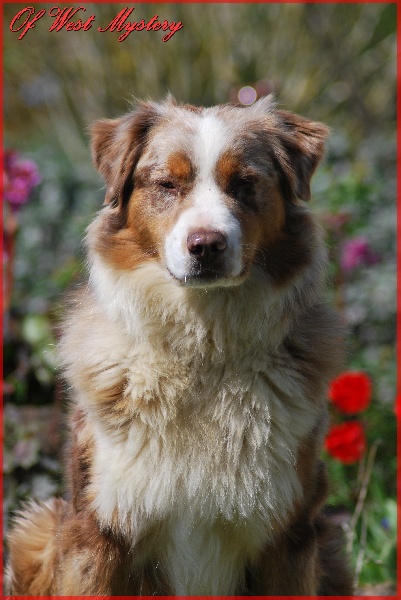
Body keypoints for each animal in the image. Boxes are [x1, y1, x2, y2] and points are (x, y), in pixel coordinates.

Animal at [6, 96, 352, 592]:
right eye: (167, 184)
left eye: (244, 183)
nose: (206, 245)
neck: (201, 349)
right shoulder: (97, 529)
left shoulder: (289, 533)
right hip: (35, 527)